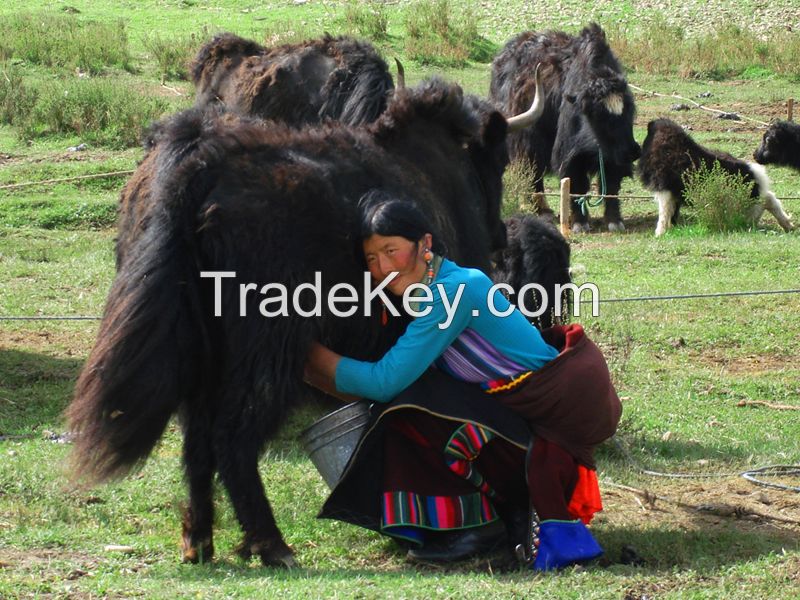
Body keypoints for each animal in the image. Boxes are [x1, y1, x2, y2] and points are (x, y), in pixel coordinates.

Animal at [636, 118, 792, 236]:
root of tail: (755, 173)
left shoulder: (665, 190)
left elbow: (664, 212)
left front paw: (659, 233)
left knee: (762, 205)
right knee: (769, 199)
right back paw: (789, 225)